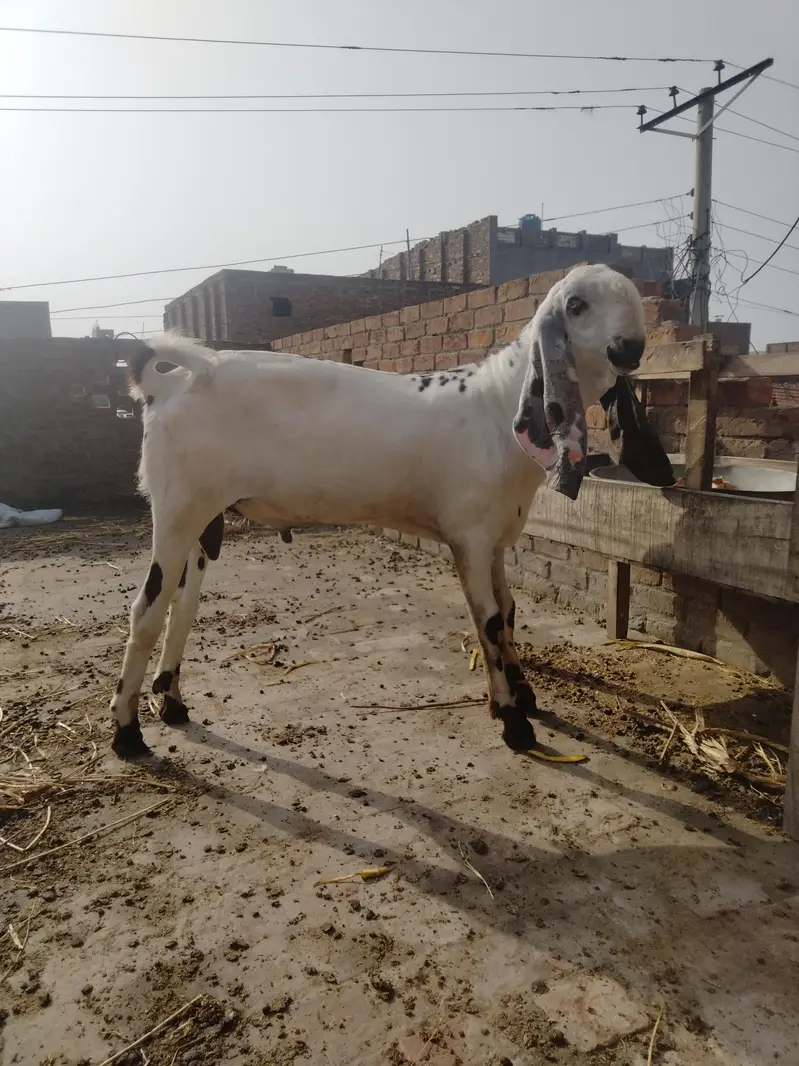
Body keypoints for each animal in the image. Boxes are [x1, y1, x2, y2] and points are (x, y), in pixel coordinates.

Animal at [109, 264, 670, 759]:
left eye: (635, 303)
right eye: (576, 305)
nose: (628, 348)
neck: (496, 403)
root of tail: (169, 383)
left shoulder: (494, 538)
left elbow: (509, 612)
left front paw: (522, 694)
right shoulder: (469, 537)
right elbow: (488, 622)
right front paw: (514, 722)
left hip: (203, 517)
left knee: (181, 607)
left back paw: (171, 703)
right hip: (178, 507)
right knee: (146, 611)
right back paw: (126, 732)